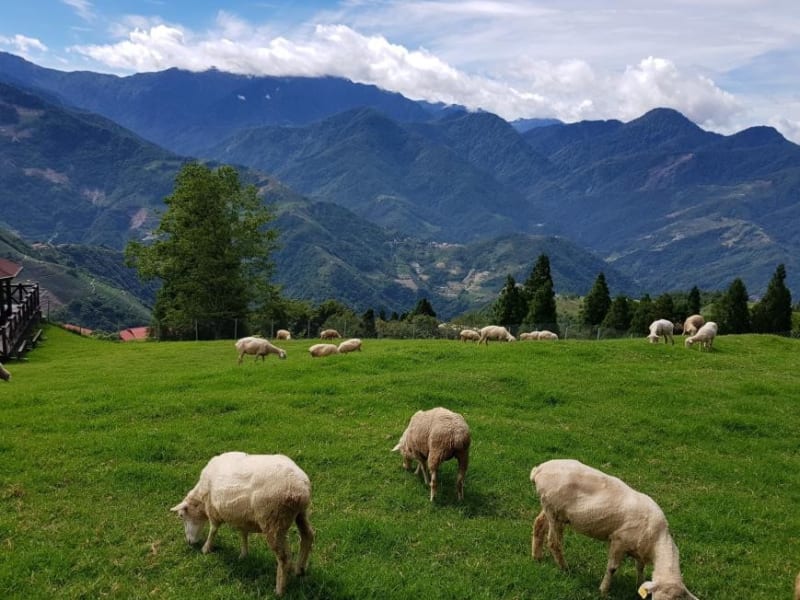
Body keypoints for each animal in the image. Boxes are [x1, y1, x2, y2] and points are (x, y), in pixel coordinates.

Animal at [170, 452, 314, 596]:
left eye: (181, 516)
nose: (189, 542)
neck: (201, 498)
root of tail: (301, 488)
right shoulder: (242, 516)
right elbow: (243, 534)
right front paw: (243, 555)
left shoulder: (213, 510)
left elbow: (213, 529)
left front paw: (206, 548)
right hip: (300, 513)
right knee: (307, 536)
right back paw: (299, 569)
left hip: (273, 520)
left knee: (284, 557)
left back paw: (279, 589)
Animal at [532, 460, 700, 600]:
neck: (657, 540)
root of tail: (539, 470)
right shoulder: (619, 540)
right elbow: (612, 568)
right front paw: (604, 590)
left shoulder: (639, 548)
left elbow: (640, 568)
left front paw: (638, 585)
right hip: (555, 511)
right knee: (554, 542)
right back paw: (565, 568)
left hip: (549, 508)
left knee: (538, 525)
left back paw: (537, 557)